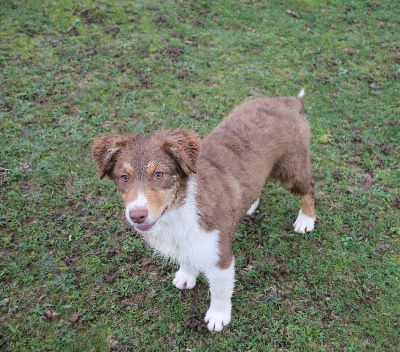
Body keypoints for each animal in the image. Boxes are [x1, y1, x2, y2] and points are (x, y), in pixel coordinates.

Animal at [93, 89, 316, 332]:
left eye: (159, 174)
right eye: (124, 177)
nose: (137, 215)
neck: (178, 210)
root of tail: (288, 101)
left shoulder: (220, 255)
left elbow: (220, 289)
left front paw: (218, 316)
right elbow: (187, 257)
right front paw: (186, 275)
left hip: (291, 168)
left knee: (310, 188)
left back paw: (306, 220)